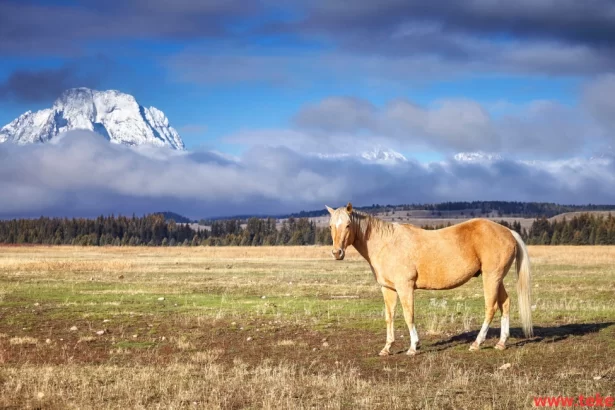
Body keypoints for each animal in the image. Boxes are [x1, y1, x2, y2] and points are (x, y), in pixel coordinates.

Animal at [328, 203, 536, 356]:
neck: (387, 243)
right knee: (505, 304)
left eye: (348, 225)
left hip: (491, 278)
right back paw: (501, 343)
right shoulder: (388, 289)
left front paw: (413, 347)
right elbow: (389, 317)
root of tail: (508, 232)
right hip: (497, 279)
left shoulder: (405, 287)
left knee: (490, 307)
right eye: (331, 226)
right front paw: (387, 348)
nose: (337, 253)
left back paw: (477, 343)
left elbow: (408, 315)